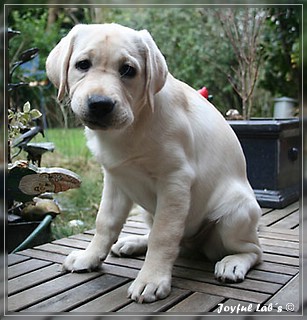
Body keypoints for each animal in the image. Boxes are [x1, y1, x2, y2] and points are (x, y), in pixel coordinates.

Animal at [46, 23, 262, 304]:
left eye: (128, 70)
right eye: (82, 65)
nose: (100, 105)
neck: (131, 127)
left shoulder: (175, 181)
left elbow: (164, 235)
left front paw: (151, 279)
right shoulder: (115, 178)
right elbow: (105, 222)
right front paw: (89, 257)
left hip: (235, 214)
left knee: (254, 251)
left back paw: (233, 263)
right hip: (149, 211)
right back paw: (133, 243)